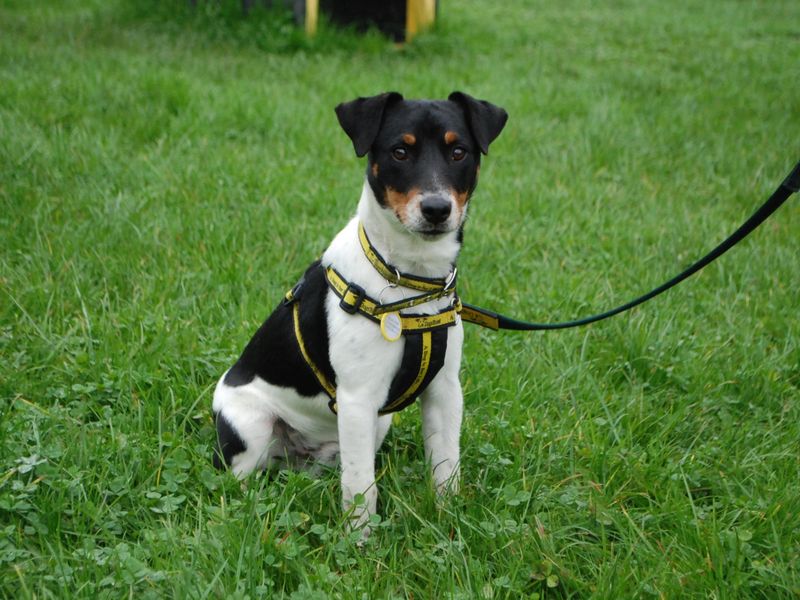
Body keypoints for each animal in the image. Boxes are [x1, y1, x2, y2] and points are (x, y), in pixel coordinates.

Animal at [212, 91, 506, 532]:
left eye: (459, 152)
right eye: (400, 151)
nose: (437, 209)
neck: (409, 282)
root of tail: (297, 457)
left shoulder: (444, 389)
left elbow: (445, 465)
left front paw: (448, 518)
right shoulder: (357, 397)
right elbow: (361, 488)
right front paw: (359, 541)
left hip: (374, 424)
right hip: (251, 424)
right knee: (242, 478)